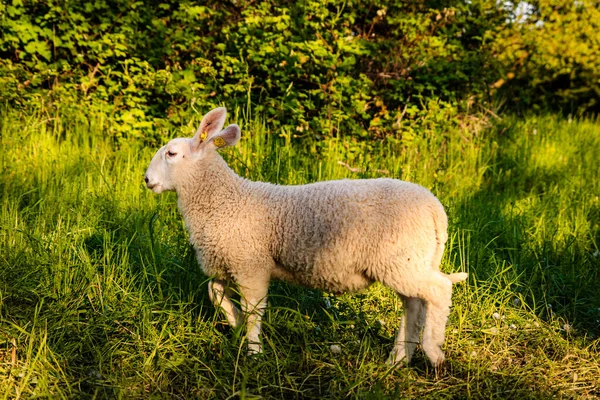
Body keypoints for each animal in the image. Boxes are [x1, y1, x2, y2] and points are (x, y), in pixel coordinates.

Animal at [145, 107, 468, 368]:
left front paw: (253, 352)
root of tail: (435, 209)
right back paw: (399, 359)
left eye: (171, 154)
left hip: (401, 260)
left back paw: (433, 353)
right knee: (413, 305)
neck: (225, 200)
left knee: (438, 290)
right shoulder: (224, 261)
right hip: (407, 261)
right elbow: (216, 294)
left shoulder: (251, 265)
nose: (147, 180)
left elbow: (254, 310)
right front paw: (235, 324)